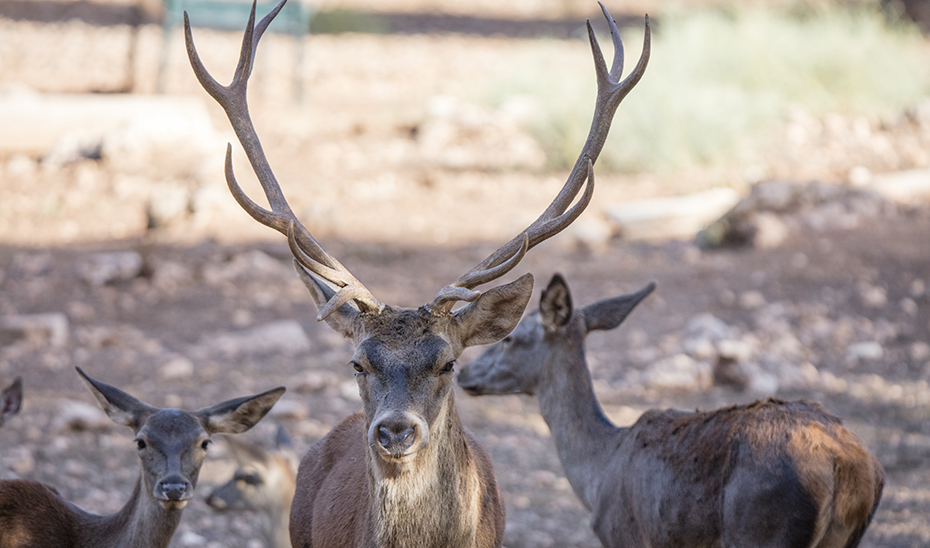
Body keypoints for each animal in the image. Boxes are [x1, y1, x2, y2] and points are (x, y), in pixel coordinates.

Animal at [456, 274, 884, 548]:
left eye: (510, 338)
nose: (464, 373)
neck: (598, 473)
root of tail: (847, 467)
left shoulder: (624, 536)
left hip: (762, 529)